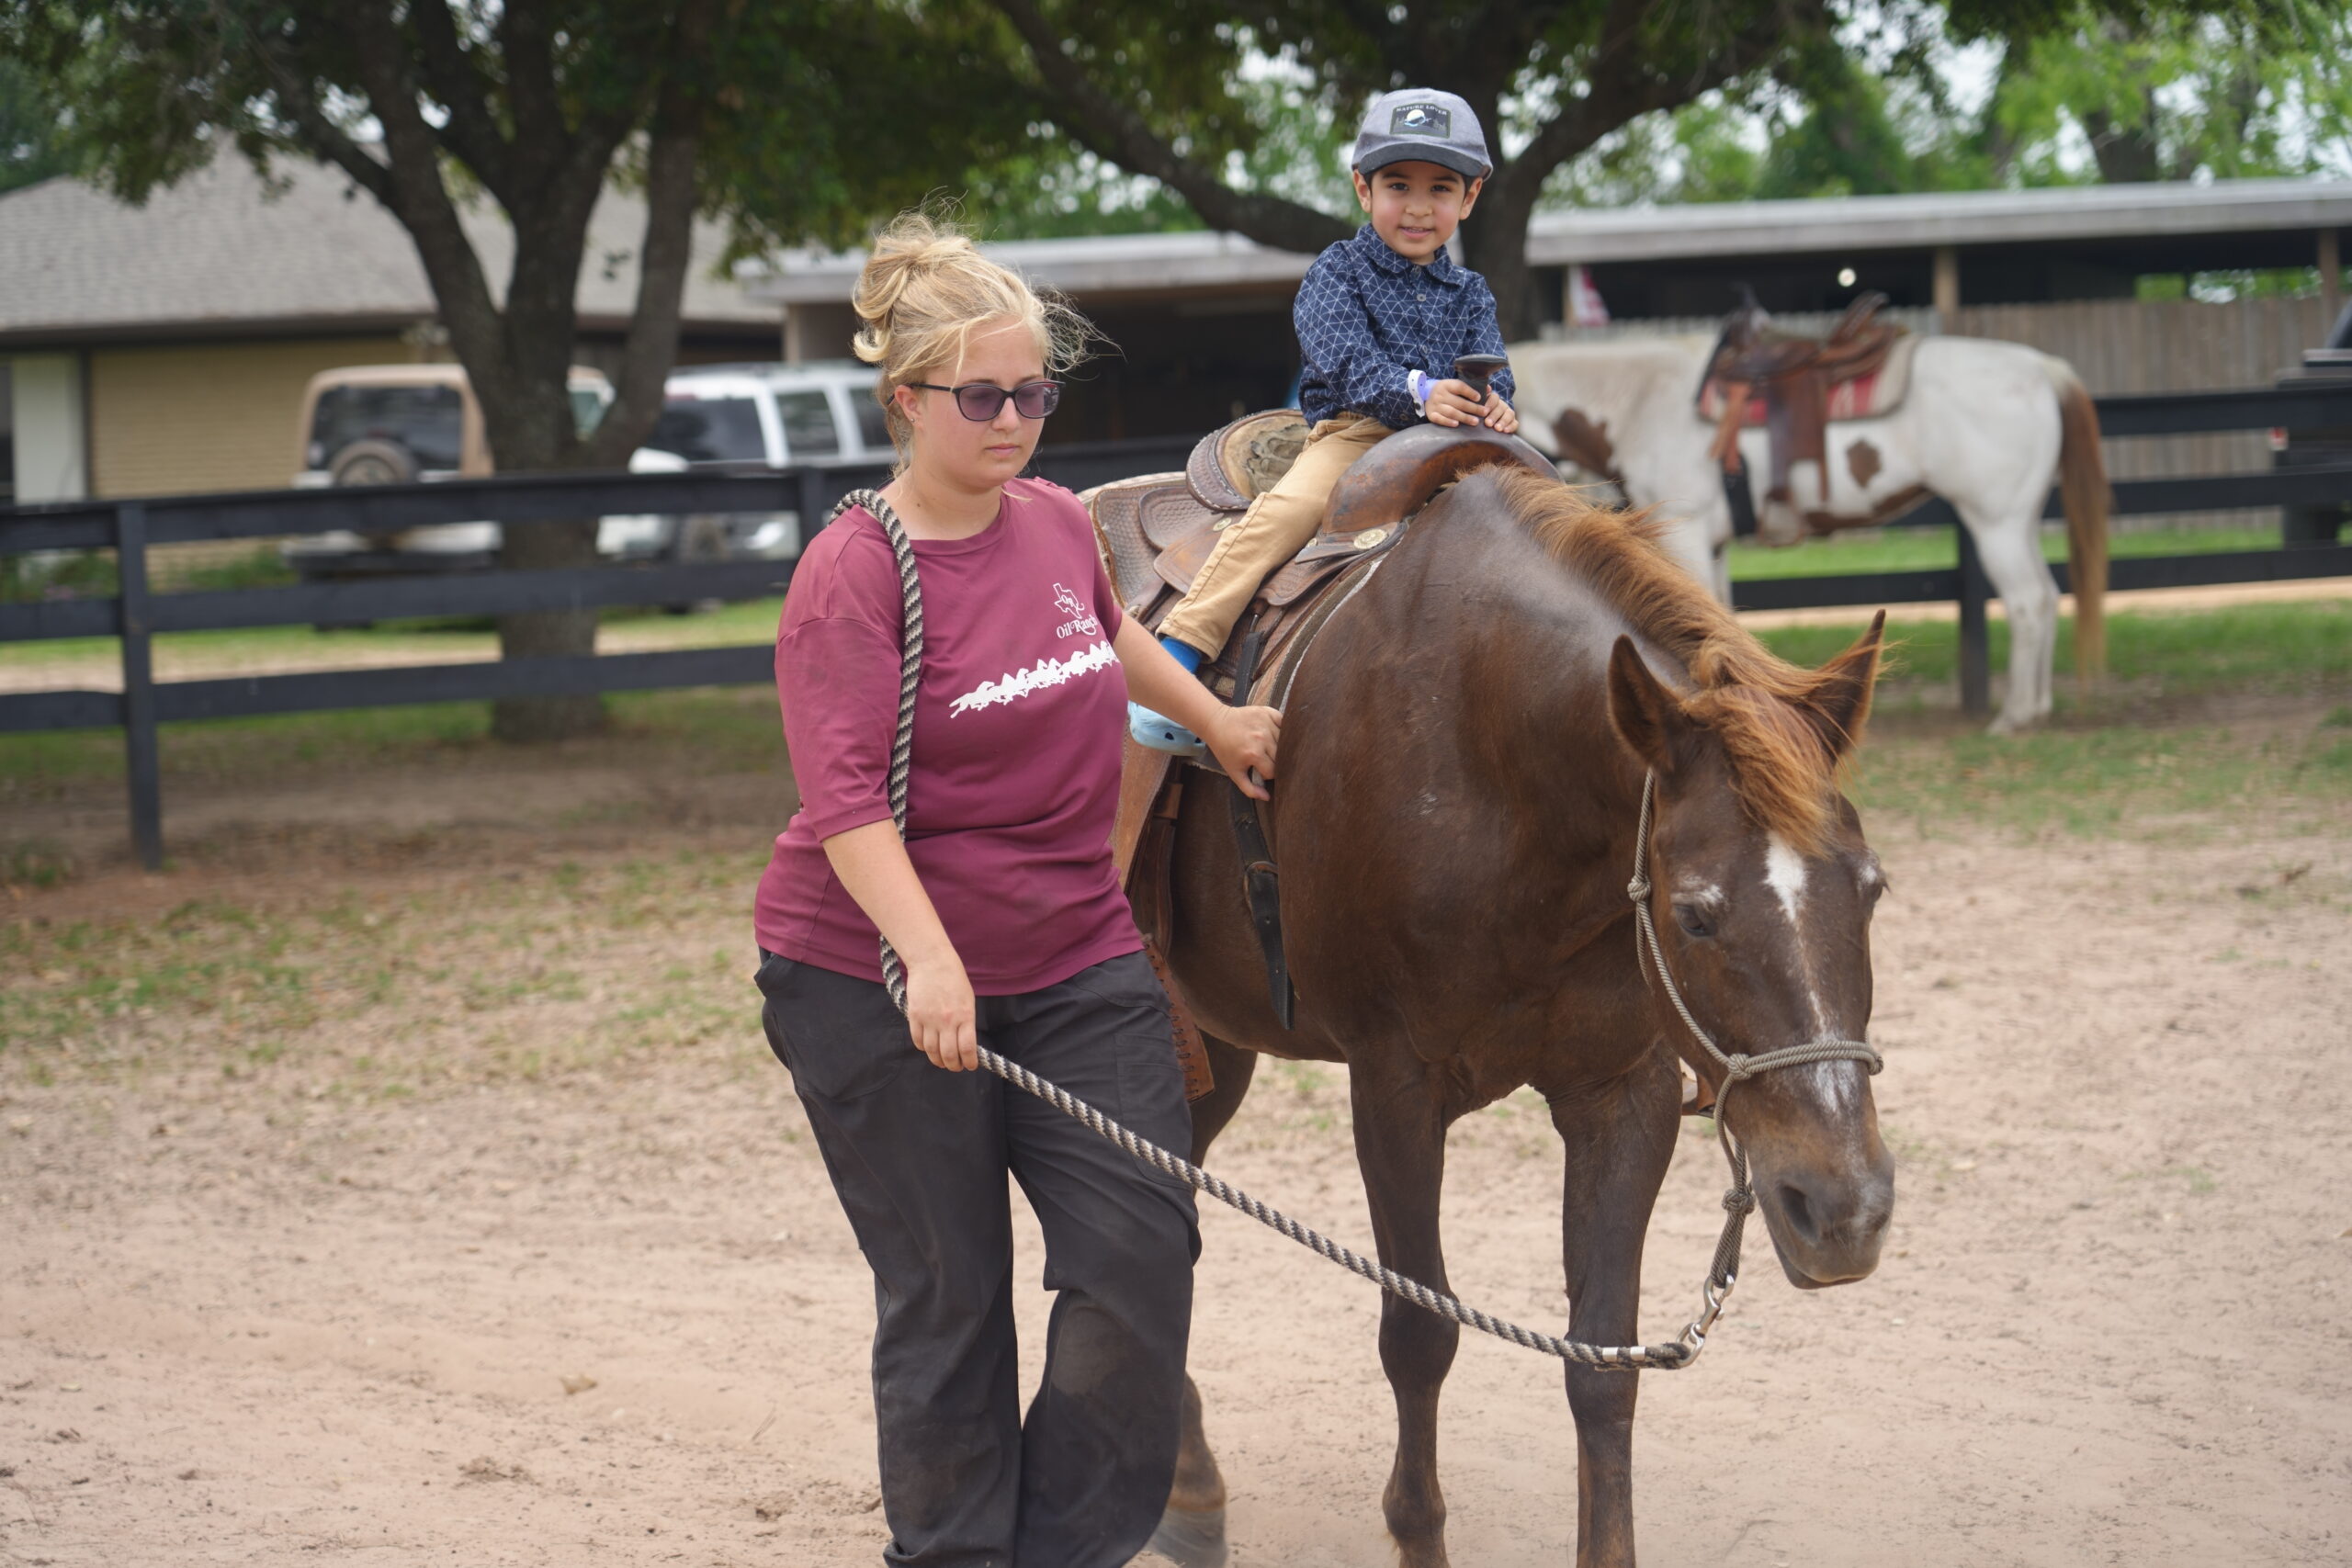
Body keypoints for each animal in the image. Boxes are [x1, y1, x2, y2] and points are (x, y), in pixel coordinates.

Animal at [1149, 464, 1896, 1568]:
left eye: (1873, 889)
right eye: (1696, 914)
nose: (1843, 1209)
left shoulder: (1622, 1095)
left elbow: (1603, 1361)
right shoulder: (1394, 1093)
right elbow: (1419, 1335)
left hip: (1211, 1042)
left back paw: (1186, 1481)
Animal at [1506, 336, 2110, 734]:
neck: (1641, 403)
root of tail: (2043, 368)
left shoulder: (1691, 534)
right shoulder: (1713, 546)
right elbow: (1719, 616)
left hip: (1995, 521)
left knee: (2027, 601)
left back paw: (2015, 714)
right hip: (2018, 520)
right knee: (2047, 597)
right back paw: (2037, 706)